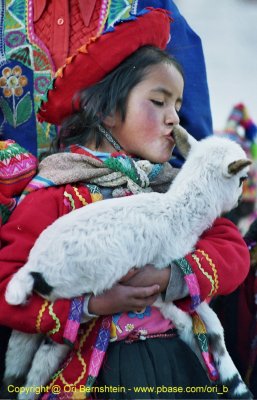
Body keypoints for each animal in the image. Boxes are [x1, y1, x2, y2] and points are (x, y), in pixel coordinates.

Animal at [4, 126, 252, 400]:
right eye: (242, 179)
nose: (238, 202)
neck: (179, 212)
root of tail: (33, 268)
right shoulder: (157, 273)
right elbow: (188, 317)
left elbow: (212, 321)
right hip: (72, 289)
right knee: (41, 354)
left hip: (53, 298)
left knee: (26, 347)